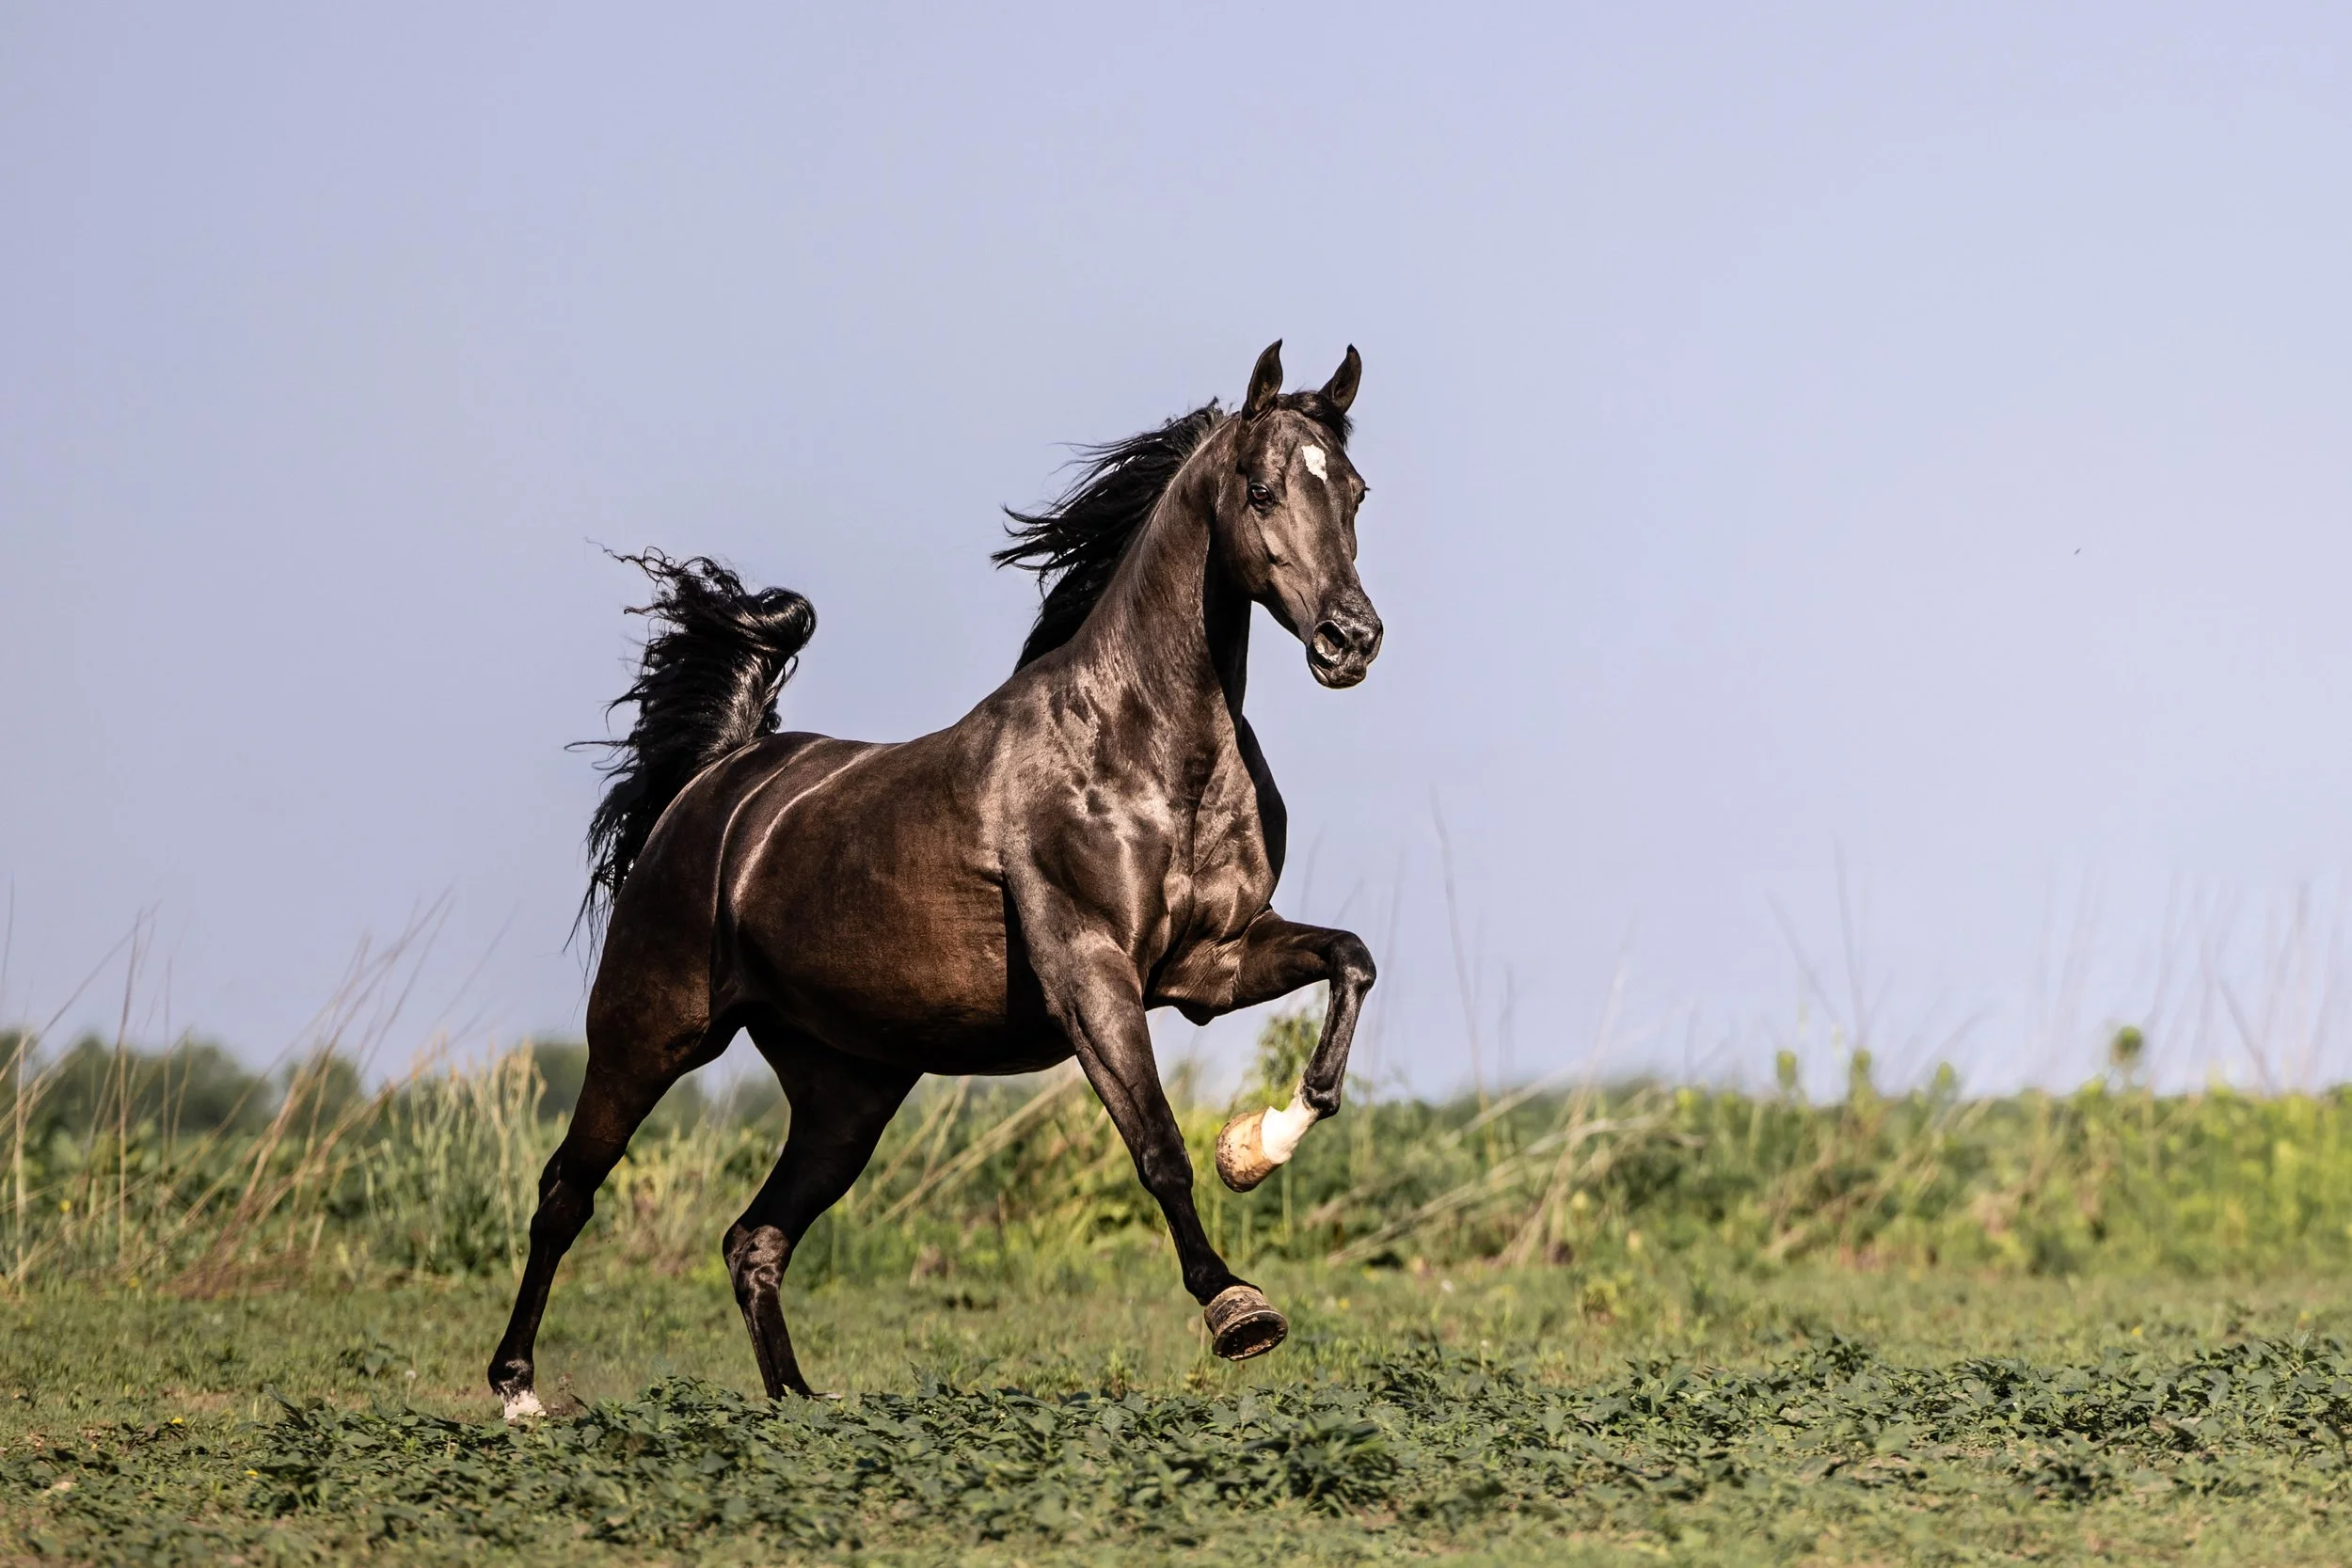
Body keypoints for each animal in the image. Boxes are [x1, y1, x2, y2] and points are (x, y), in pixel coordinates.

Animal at [490, 341, 1383, 1415]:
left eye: (1356, 492)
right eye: (1259, 489)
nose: (1351, 639)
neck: (1142, 750)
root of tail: (718, 781)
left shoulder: (1211, 962)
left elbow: (1352, 962)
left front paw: (1259, 1144)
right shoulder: (1092, 972)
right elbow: (1158, 1143)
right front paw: (1236, 1306)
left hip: (847, 1091)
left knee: (753, 1239)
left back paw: (799, 1405)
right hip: (649, 1029)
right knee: (565, 1191)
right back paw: (519, 1391)